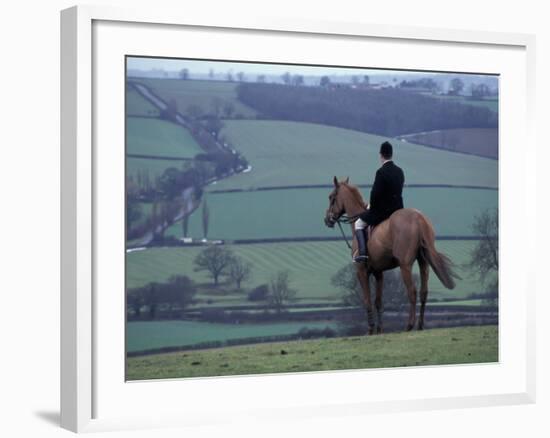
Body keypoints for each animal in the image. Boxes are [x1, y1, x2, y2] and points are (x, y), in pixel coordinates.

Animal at [326, 176, 460, 334]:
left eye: (331, 197)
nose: (327, 220)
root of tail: (419, 218)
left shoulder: (361, 271)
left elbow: (367, 300)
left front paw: (371, 330)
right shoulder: (378, 273)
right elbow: (378, 302)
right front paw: (379, 330)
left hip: (405, 265)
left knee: (412, 292)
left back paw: (409, 325)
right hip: (423, 262)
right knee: (423, 292)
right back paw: (420, 325)